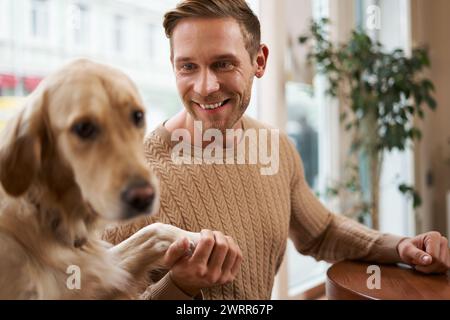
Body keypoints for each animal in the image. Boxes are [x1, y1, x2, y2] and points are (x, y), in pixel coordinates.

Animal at [0, 59, 199, 300]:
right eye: (83, 127)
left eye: (138, 116)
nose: (144, 197)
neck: (46, 211)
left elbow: (153, 230)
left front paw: (203, 238)